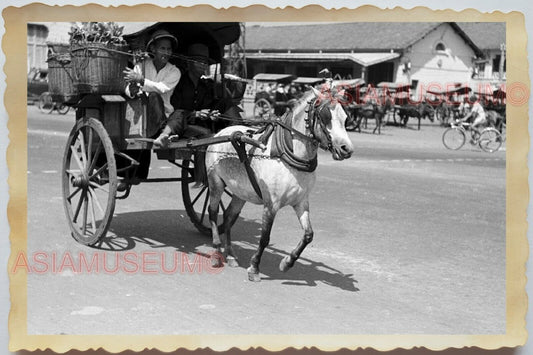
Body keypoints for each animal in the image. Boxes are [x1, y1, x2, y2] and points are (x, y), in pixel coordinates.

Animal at [204, 85, 354, 280]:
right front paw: (254, 267)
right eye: (325, 117)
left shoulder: (300, 202)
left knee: (229, 216)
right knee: (213, 213)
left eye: (345, 118)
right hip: (215, 182)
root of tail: (221, 133)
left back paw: (230, 255)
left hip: (241, 192)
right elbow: (264, 237)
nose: (347, 149)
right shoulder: (271, 204)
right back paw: (216, 251)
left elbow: (309, 234)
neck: (286, 156)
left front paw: (287, 262)